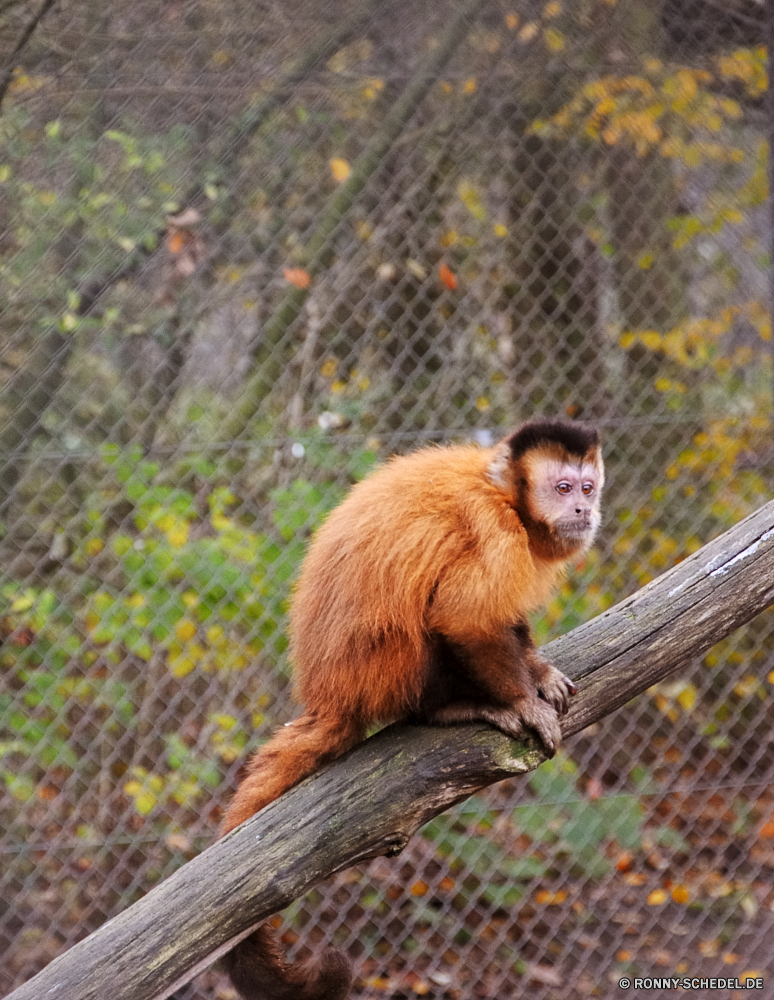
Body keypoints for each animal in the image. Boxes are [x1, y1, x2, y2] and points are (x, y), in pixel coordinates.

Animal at [220, 418, 608, 996]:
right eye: (562, 489)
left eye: (587, 487)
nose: (583, 509)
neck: (505, 495)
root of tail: (328, 698)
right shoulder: (496, 531)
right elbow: (465, 618)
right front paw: (521, 698)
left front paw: (536, 670)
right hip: (381, 676)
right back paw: (448, 710)